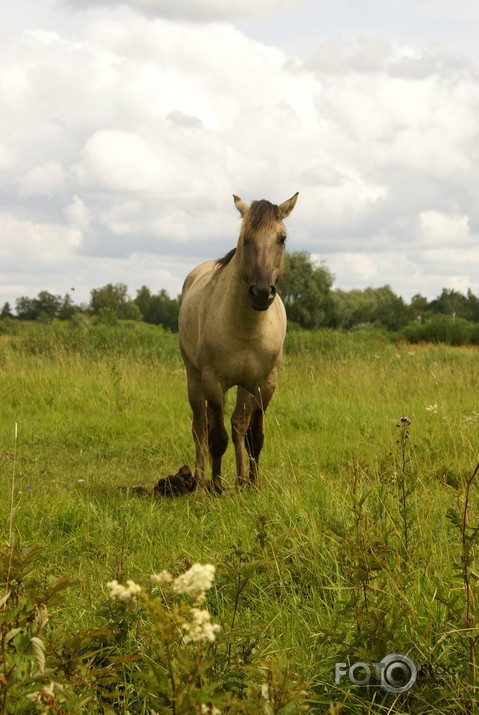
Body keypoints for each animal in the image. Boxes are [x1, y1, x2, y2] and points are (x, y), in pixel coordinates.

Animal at [180, 190, 300, 492]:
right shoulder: (213, 382)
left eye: (282, 238)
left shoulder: (262, 383)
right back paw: (198, 479)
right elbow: (217, 437)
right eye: (246, 239)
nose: (261, 293)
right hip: (194, 377)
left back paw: (241, 478)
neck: (247, 329)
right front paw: (216, 486)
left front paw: (252, 484)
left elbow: (252, 435)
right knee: (201, 427)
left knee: (237, 425)